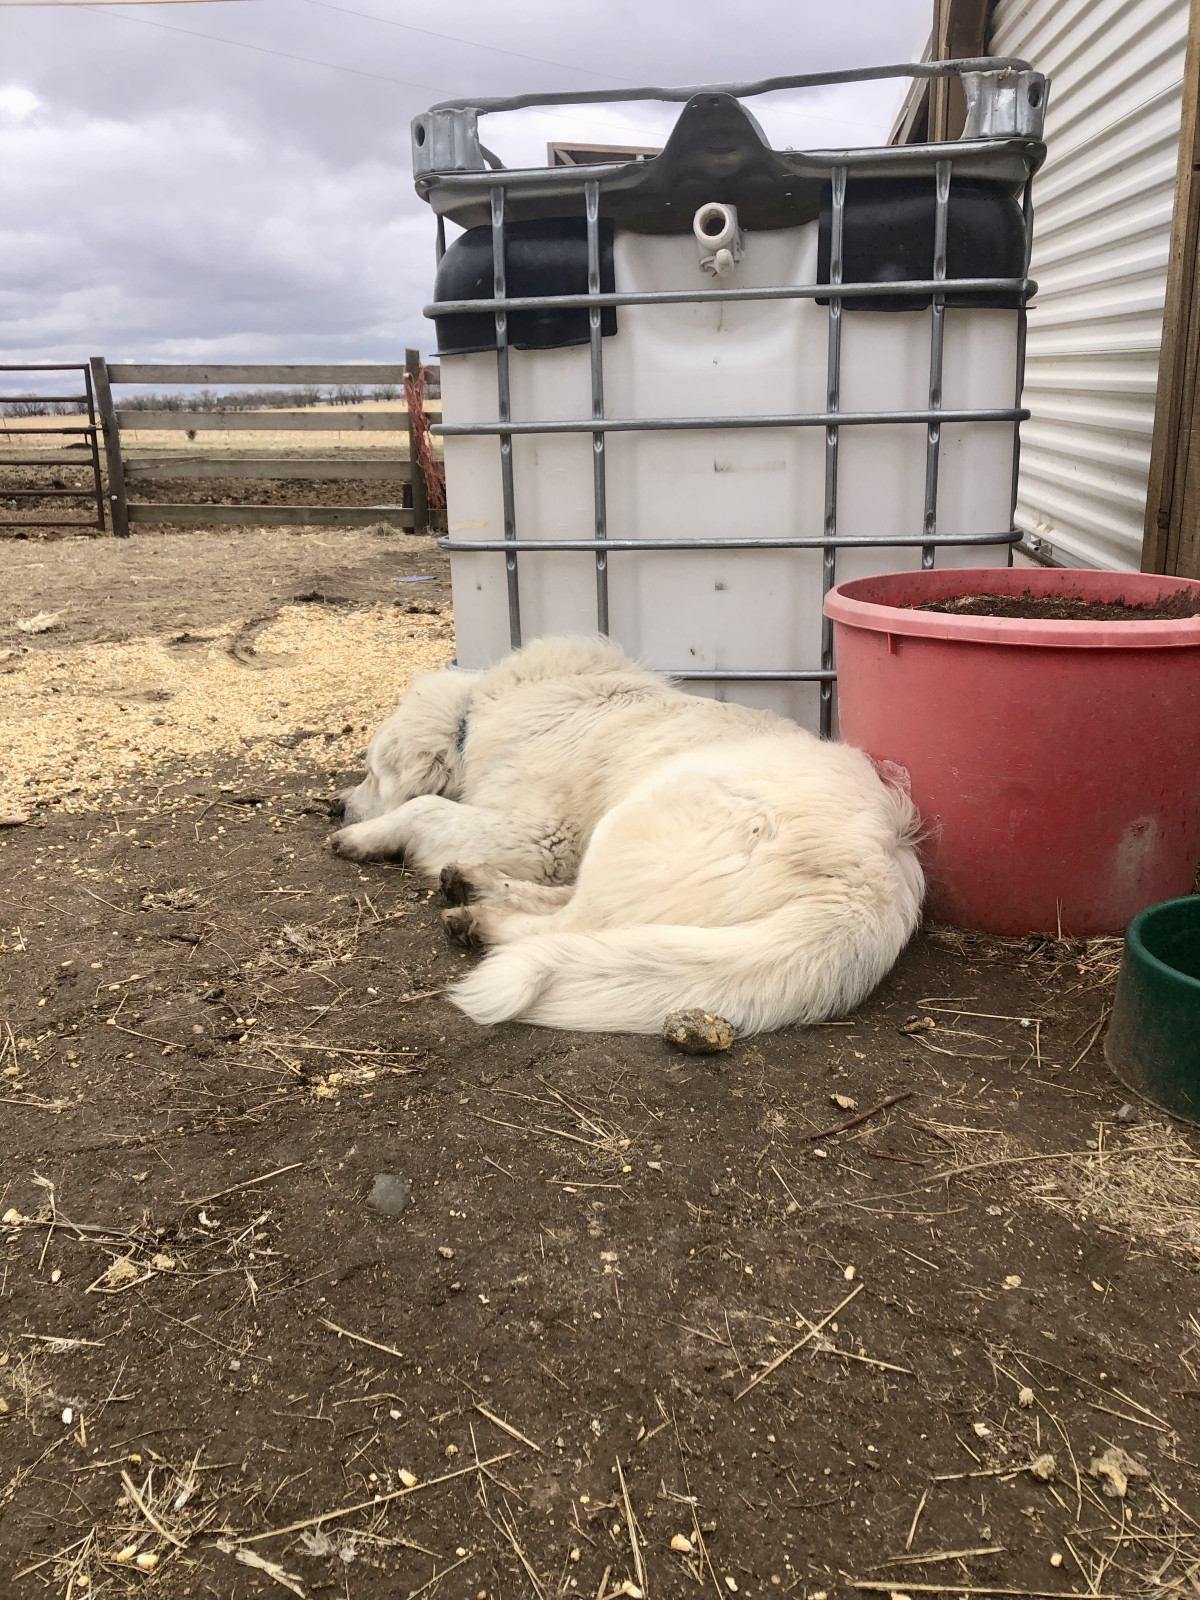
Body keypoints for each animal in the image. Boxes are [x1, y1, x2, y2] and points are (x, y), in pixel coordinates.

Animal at [334, 636, 928, 1036]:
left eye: (369, 772)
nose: (335, 804)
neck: (474, 715)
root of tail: (875, 873)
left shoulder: (538, 832)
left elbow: (424, 807)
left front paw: (364, 835)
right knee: (575, 908)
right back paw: (473, 883)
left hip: (635, 819)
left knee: (572, 923)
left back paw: (478, 919)